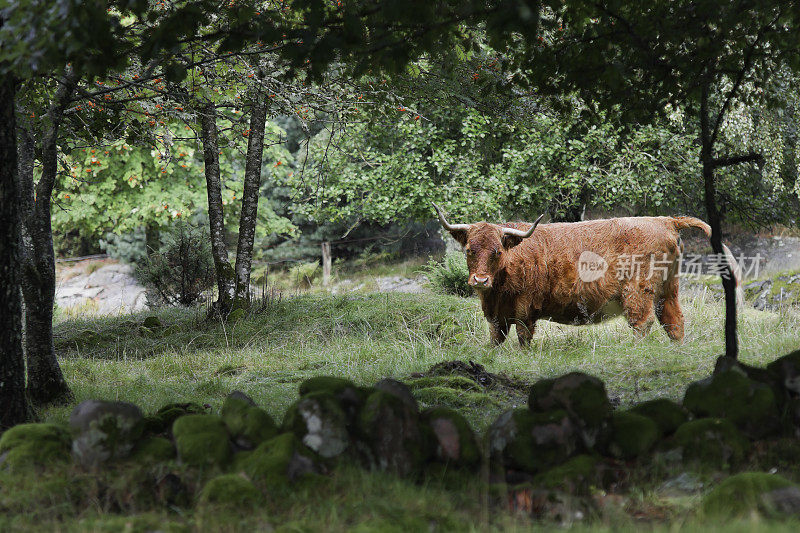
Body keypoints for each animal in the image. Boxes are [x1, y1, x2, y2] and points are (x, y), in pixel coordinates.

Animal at [434, 204, 740, 344]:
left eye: (497, 251)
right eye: (469, 250)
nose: (480, 280)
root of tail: (666, 220)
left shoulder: (524, 308)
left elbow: (523, 336)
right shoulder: (496, 314)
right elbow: (496, 338)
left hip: (638, 291)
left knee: (642, 323)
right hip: (668, 289)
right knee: (674, 321)